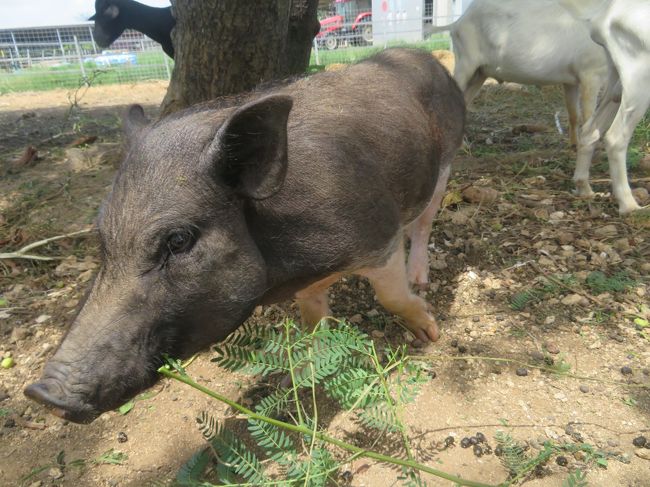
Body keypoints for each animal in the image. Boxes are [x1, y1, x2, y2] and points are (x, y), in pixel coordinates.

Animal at [24, 48, 460, 424]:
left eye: (178, 241)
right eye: (102, 238)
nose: (43, 394)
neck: (286, 269)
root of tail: (424, 55)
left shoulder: (378, 235)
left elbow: (391, 295)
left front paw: (430, 333)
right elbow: (312, 318)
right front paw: (296, 375)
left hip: (445, 164)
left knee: (423, 223)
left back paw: (421, 277)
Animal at [430, 0, 608, 145]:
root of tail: (458, 23)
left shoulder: (571, 80)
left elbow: (574, 115)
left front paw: (574, 146)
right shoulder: (591, 74)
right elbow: (588, 117)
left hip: (479, 73)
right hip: (465, 62)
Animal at [572, 0, 648, 214]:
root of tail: (606, 18)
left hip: (616, 83)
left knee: (589, 130)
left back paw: (584, 187)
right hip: (639, 82)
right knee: (615, 138)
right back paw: (629, 205)